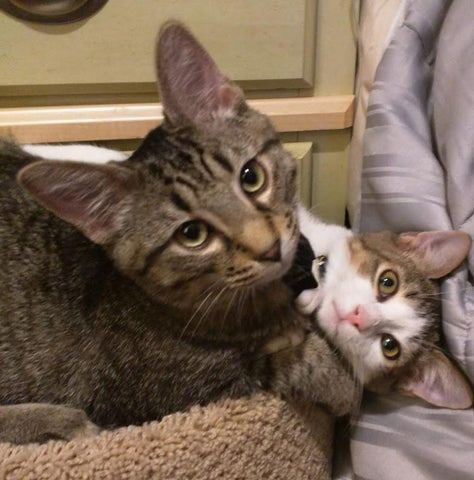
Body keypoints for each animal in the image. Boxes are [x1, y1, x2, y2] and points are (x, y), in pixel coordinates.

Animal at [0, 23, 358, 445]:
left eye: (251, 176)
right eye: (192, 234)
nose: (270, 248)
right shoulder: (182, 394)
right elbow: (291, 362)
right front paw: (342, 384)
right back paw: (58, 421)